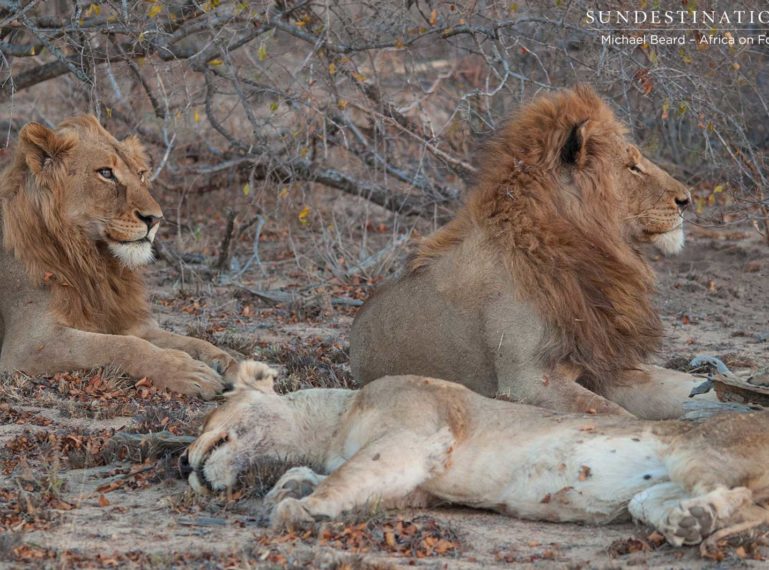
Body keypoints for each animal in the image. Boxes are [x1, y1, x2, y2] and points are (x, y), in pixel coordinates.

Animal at [0, 116, 240, 394]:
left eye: (141, 174)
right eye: (106, 173)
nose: (155, 219)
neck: (95, 262)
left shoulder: (126, 320)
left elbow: (186, 340)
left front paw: (230, 363)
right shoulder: (29, 344)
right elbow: (121, 345)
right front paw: (188, 372)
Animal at [184, 360, 768, 552]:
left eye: (214, 406)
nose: (182, 462)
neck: (334, 419)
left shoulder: (415, 435)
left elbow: (345, 475)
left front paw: (297, 507)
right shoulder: (416, 487)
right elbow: (339, 479)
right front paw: (289, 486)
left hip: (698, 449)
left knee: (750, 503)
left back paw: (705, 524)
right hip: (649, 494)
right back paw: (691, 523)